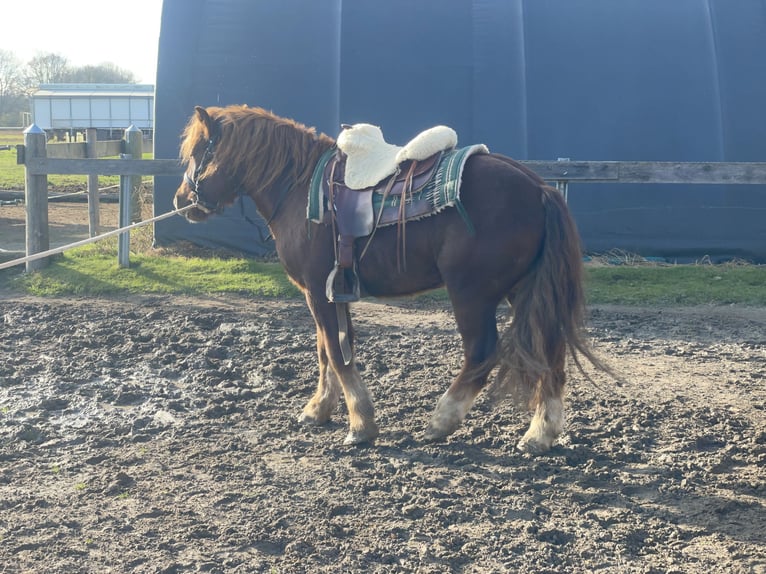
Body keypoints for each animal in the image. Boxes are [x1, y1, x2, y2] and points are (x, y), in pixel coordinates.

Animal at [176, 106, 612, 452]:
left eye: (199, 152)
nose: (181, 200)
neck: (299, 188)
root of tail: (538, 187)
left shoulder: (319, 291)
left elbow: (336, 355)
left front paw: (360, 426)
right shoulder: (329, 293)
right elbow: (327, 351)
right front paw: (318, 410)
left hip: (471, 293)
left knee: (482, 353)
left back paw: (441, 421)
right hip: (521, 292)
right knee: (549, 351)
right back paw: (540, 433)